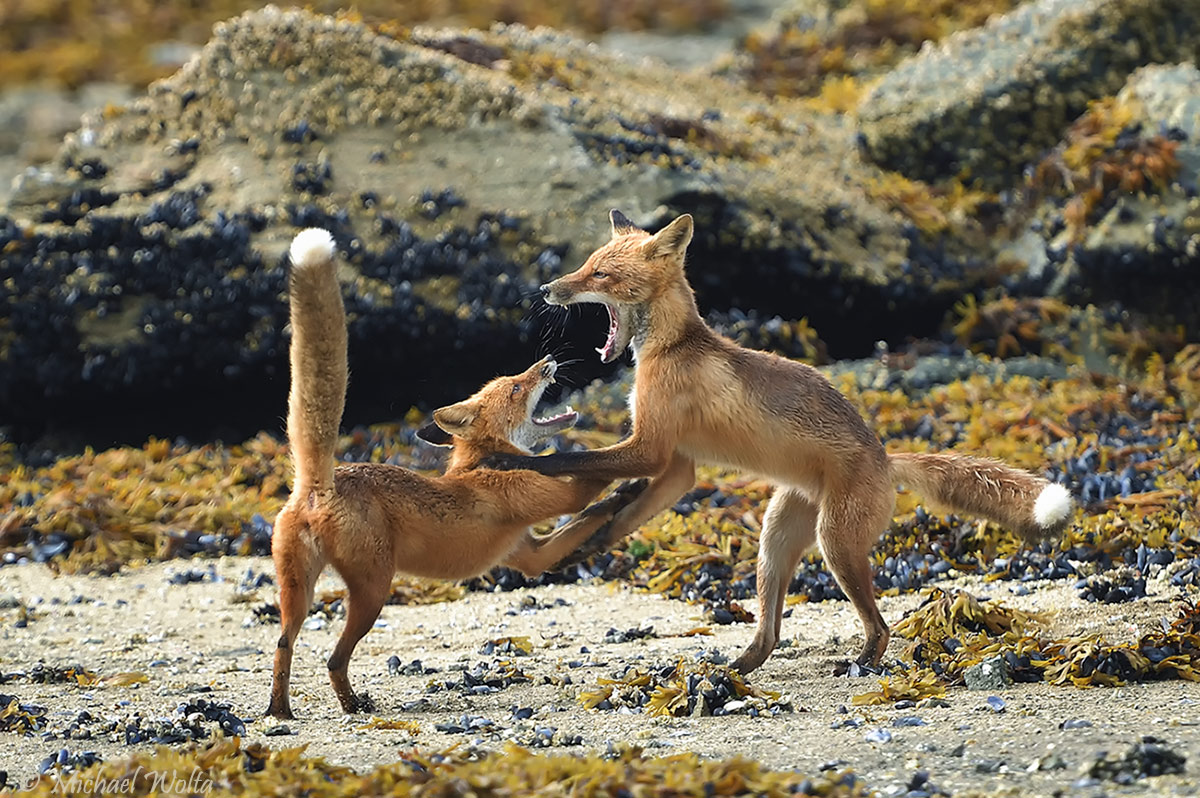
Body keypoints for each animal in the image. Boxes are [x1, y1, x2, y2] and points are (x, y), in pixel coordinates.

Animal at [482, 210, 1075, 672]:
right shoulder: (678, 464)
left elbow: (574, 460)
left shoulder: (651, 446)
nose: (547, 290)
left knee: (880, 626)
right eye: (586, 263)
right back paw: (734, 672)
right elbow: (625, 510)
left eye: (599, 273)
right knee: (770, 633)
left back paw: (859, 663)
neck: (674, 347)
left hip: (836, 547)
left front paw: (508, 463)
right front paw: (590, 544)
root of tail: (885, 455)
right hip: (775, 541)